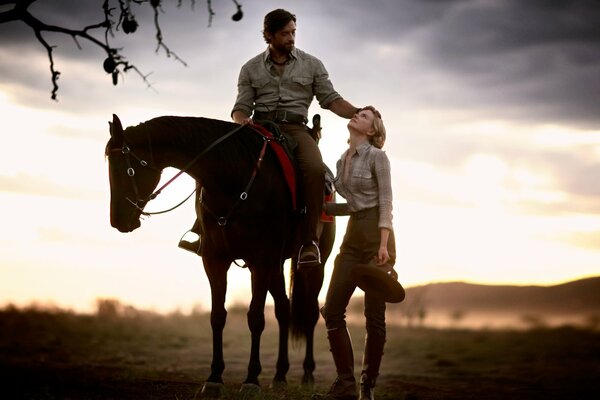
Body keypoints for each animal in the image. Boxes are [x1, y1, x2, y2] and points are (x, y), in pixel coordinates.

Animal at [105, 114, 336, 396]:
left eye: (126, 169)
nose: (118, 221)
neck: (234, 177)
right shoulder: (216, 260)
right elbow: (217, 316)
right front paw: (214, 376)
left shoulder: (261, 260)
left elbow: (255, 318)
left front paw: (251, 379)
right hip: (276, 266)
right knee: (283, 310)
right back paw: (280, 375)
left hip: (313, 265)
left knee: (310, 312)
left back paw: (307, 374)